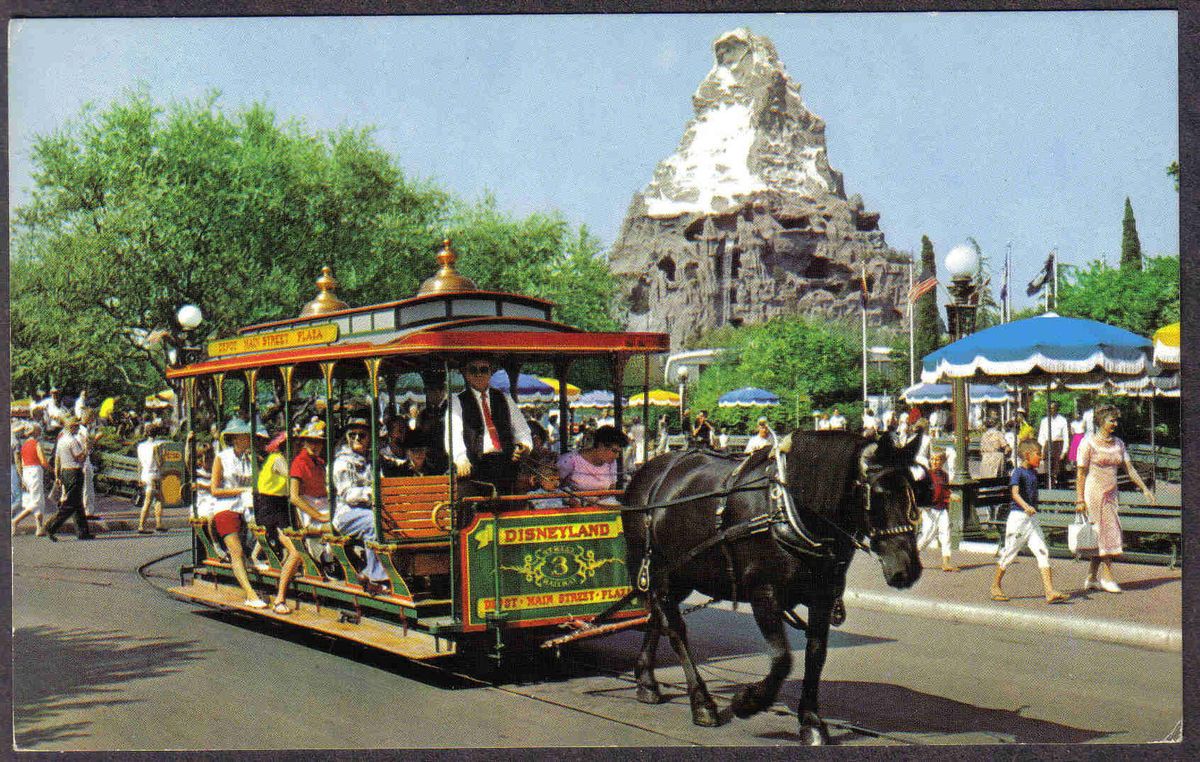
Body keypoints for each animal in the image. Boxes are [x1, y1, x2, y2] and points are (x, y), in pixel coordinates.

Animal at [624, 429, 921, 744]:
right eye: (879, 494)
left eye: (914, 489)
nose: (908, 568)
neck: (788, 511)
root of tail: (649, 470)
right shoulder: (764, 594)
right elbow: (781, 660)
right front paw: (748, 701)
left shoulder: (823, 597)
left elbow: (816, 655)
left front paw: (811, 722)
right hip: (657, 570)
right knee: (675, 629)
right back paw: (702, 702)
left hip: (680, 574)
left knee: (657, 617)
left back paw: (646, 681)